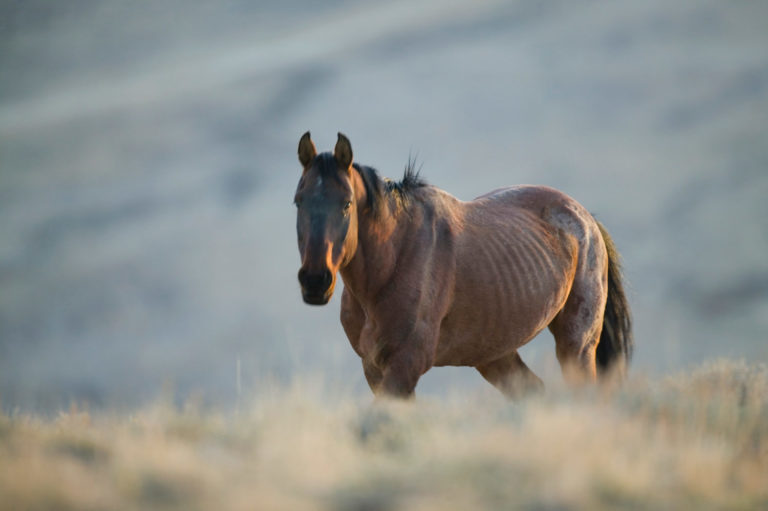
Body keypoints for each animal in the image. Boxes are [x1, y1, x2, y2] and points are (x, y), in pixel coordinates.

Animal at [293, 132, 632, 399]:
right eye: (298, 201)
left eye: (347, 204)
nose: (315, 281)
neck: (391, 266)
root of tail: (585, 218)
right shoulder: (373, 368)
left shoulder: (404, 366)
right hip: (495, 354)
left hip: (577, 345)